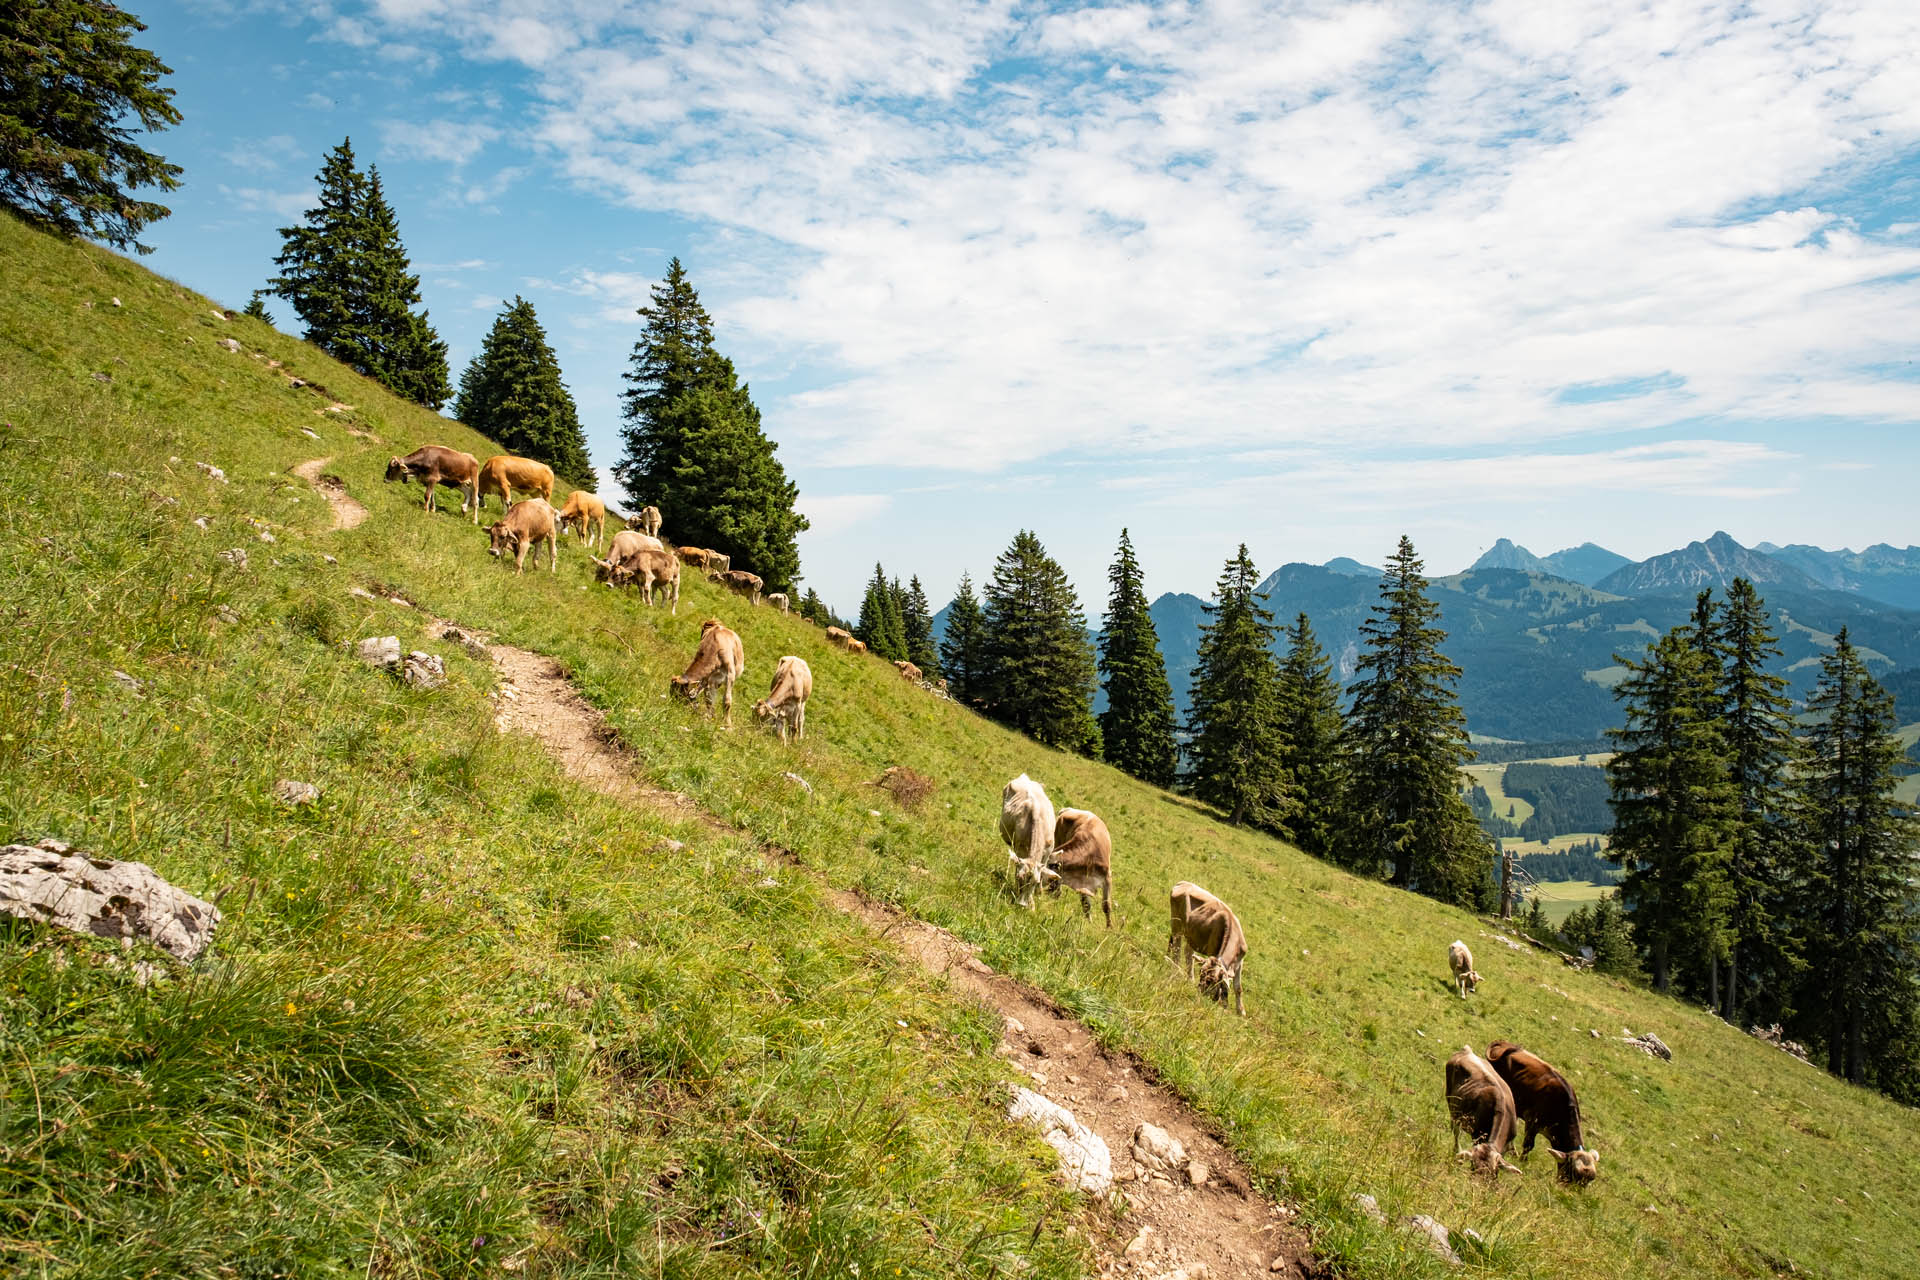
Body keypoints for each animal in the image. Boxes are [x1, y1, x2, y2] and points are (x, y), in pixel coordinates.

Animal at [998, 771, 1059, 909]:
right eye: (1020, 879)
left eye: (1035, 882)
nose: (1022, 905)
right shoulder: (1019, 848)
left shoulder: (1048, 851)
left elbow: (1042, 871)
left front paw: (1038, 894)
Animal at [1159, 882, 1251, 1013]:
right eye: (1201, 974)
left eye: (1211, 980)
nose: (1199, 993)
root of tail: (1183, 882)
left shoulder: (1239, 963)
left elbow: (1238, 988)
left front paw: (1241, 1011)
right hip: (1176, 924)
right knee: (1177, 948)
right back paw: (1176, 971)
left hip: (1191, 934)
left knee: (1188, 953)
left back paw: (1190, 978)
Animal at [1443, 1043, 1520, 1174]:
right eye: (1473, 1166)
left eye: (1494, 1172)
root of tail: (1467, 1051)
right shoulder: (1476, 1136)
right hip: (1452, 1105)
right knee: (1456, 1132)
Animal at [1489, 1043, 1597, 1182]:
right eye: (1572, 1173)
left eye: (1588, 1182)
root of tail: (1506, 1045)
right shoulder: (1532, 1122)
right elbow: (1528, 1145)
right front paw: (1523, 1161)